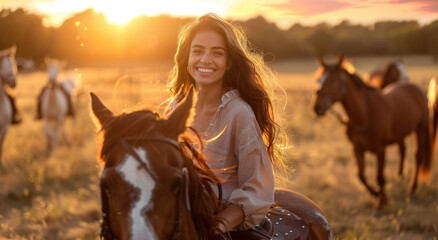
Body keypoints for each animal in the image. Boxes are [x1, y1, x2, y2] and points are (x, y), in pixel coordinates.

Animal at [314, 54, 432, 210]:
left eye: (332, 80)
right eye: (319, 79)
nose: (317, 106)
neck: (364, 114)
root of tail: (414, 87)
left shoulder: (380, 150)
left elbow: (379, 177)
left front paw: (381, 202)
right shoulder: (357, 149)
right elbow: (361, 176)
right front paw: (378, 195)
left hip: (420, 129)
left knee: (418, 157)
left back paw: (412, 190)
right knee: (402, 150)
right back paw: (400, 176)